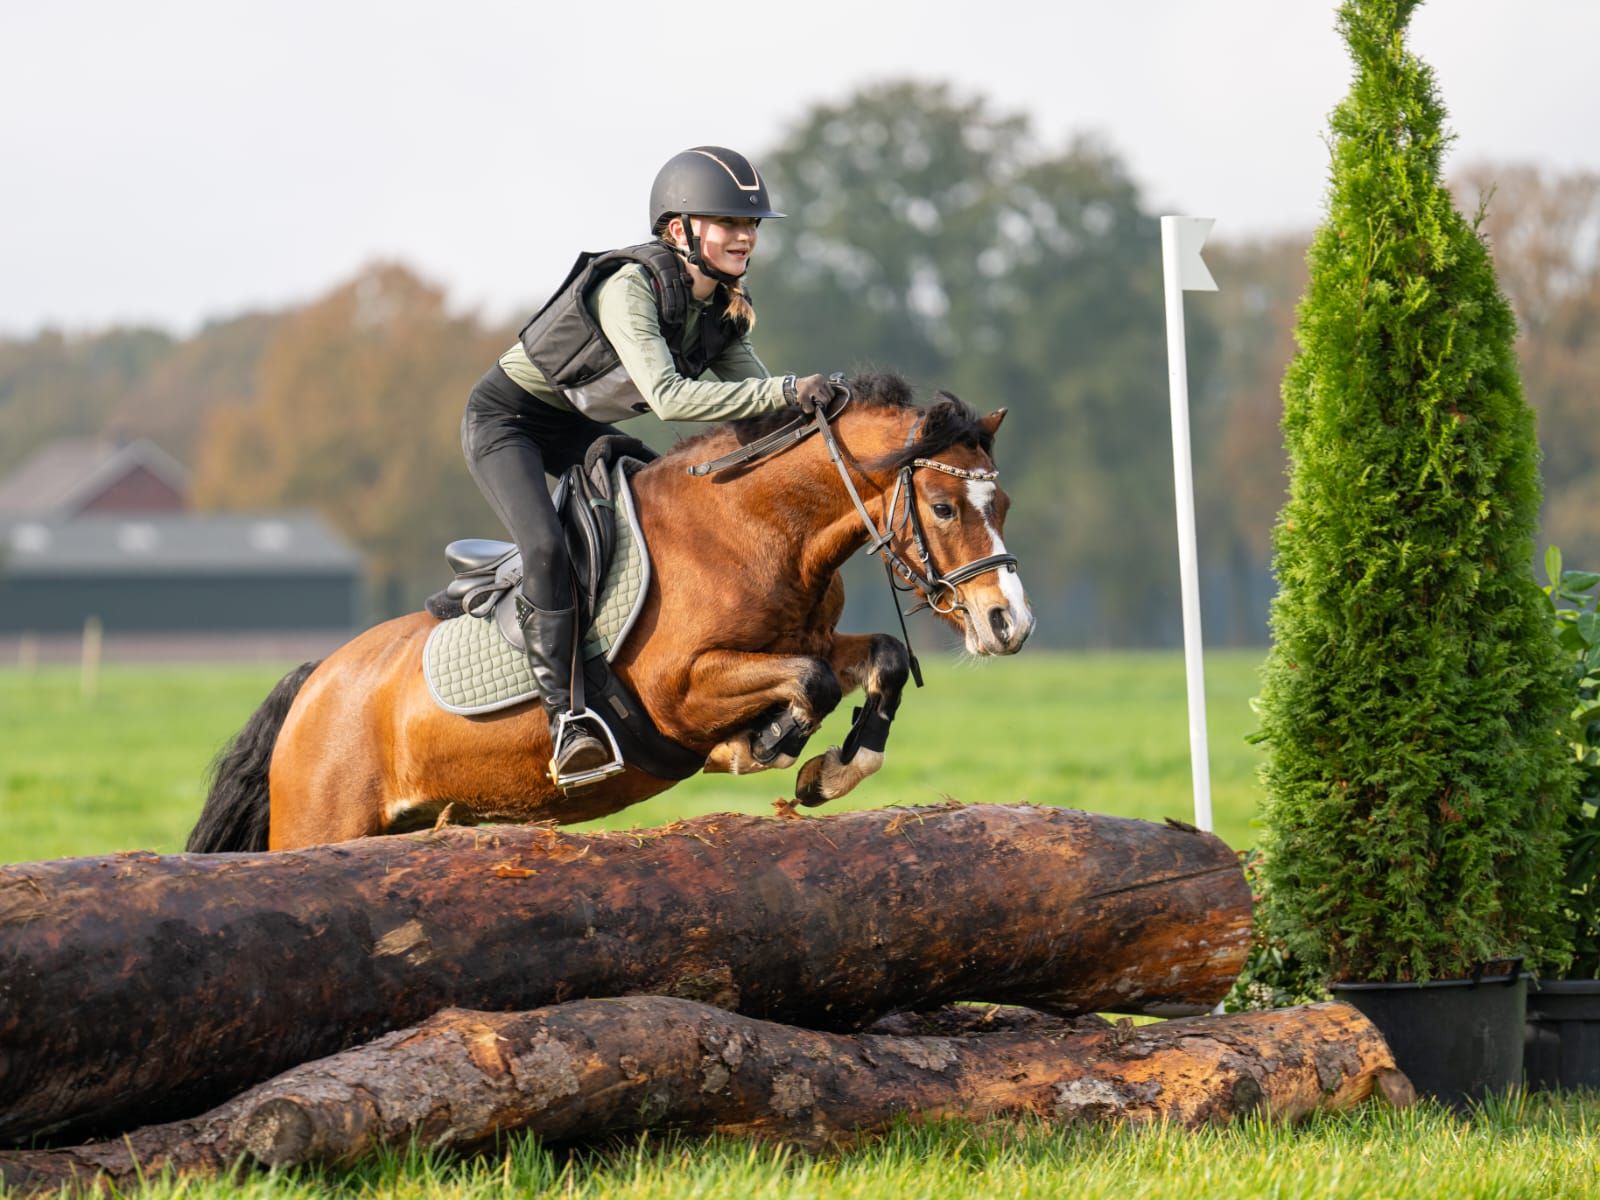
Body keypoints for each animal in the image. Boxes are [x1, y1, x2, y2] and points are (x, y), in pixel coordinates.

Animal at [187, 372, 1034, 852]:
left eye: (1003, 506)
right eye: (943, 506)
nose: (1009, 625)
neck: (758, 528)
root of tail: (316, 682)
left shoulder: (816, 639)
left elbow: (877, 659)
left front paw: (829, 773)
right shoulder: (679, 689)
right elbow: (811, 683)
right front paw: (761, 746)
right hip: (321, 820)